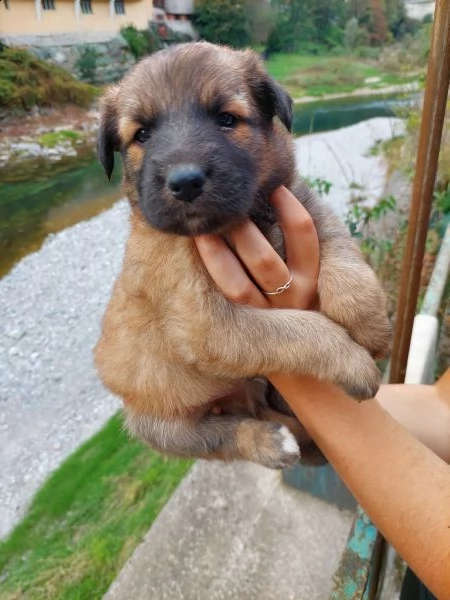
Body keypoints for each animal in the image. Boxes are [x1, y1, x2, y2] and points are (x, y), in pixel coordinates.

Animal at [94, 42, 390, 468]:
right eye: (142, 134)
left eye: (226, 119)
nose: (185, 182)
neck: (244, 220)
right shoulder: (207, 325)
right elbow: (295, 330)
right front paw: (353, 363)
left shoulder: (300, 201)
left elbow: (342, 254)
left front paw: (371, 324)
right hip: (161, 426)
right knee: (224, 435)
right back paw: (272, 443)